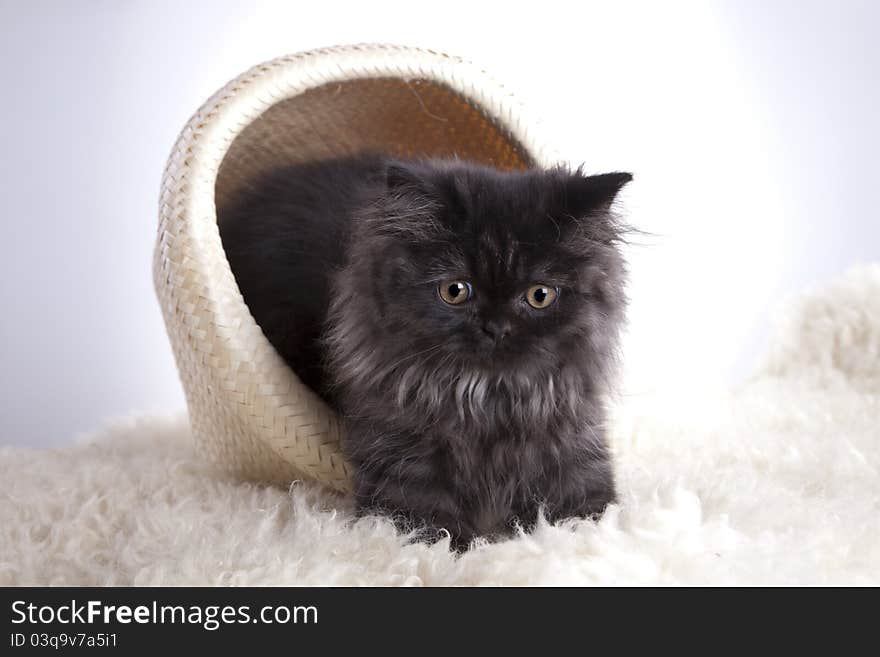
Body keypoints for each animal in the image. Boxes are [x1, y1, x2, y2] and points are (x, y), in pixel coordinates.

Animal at [222, 152, 632, 548]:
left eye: (540, 295)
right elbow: (429, 529)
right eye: (455, 290)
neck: (486, 397)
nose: (496, 328)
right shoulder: (401, 456)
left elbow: (587, 513)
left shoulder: (572, 443)